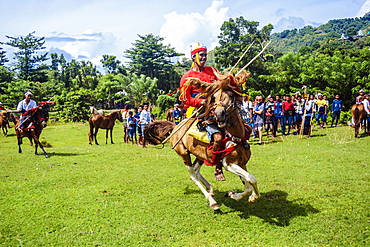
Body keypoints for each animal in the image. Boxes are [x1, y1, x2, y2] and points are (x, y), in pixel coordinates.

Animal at [143, 74, 258, 210]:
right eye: (214, 97)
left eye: (231, 95)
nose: (219, 114)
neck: (237, 137)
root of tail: (176, 127)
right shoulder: (229, 164)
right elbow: (252, 179)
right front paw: (242, 196)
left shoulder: (242, 163)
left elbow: (248, 184)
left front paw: (242, 195)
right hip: (183, 153)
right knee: (192, 175)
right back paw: (212, 201)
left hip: (200, 156)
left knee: (196, 171)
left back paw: (211, 190)